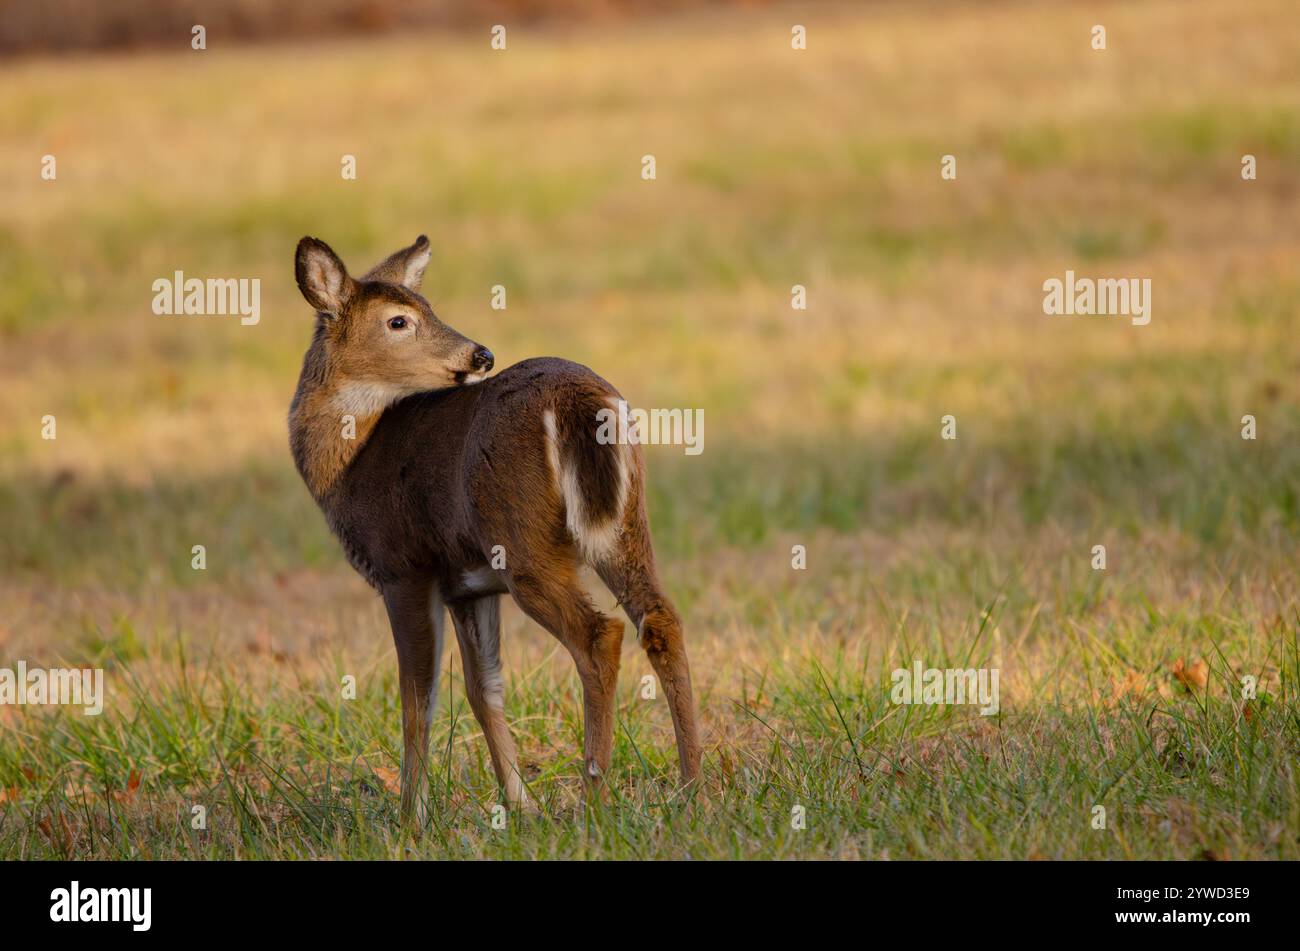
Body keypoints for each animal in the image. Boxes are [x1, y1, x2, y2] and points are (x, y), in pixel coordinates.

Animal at [286, 233, 702, 821]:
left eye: (426, 309)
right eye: (399, 320)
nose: (479, 354)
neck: (348, 466)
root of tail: (576, 400)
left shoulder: (403, 566)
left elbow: (418, 698)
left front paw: (411, 819)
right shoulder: (468, 585)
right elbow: (484, 691)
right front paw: (521, 806)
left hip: (521, 538)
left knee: (600, 634)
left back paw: (594, 797)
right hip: (624, 523)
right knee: (660, 617)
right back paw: (693, 785)